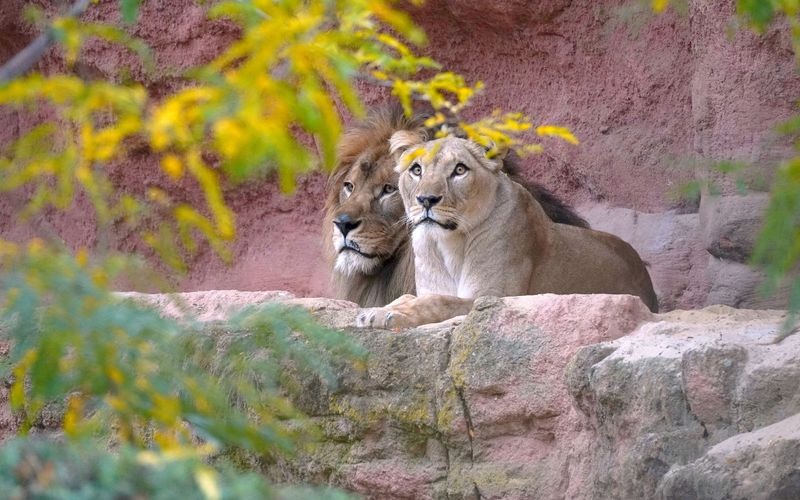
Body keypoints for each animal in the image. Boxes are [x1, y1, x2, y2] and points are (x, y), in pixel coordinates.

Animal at [356, 134, 656, 328]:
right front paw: (380, 309)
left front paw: (386, 315)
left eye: (459, 170)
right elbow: (416, 296)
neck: (448, 243)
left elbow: (440, 302)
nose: (426, 199)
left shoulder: (493, 298)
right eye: (416, 170)